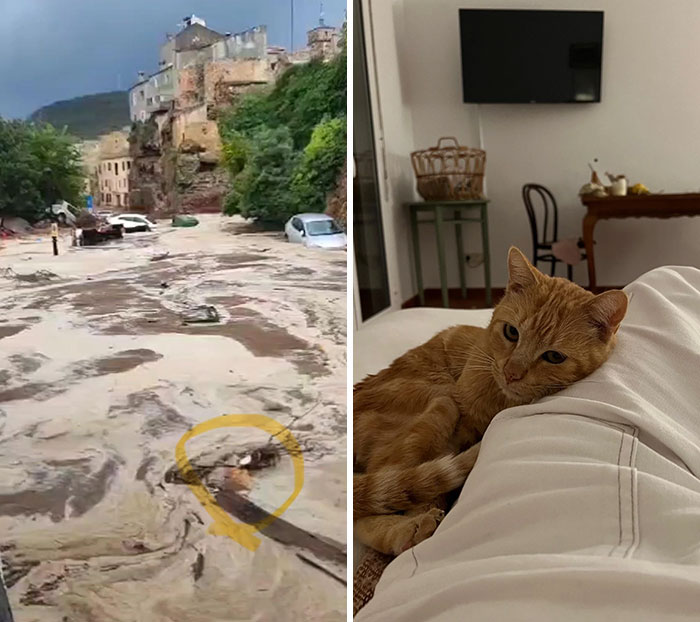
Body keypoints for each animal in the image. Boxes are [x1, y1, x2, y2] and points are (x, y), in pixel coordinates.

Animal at [356, 249, 628, 556]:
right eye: (511, 332)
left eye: (554, 357)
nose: (511, 373)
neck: (499, 401)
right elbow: (426, 490)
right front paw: (422, 514)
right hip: (442, 404)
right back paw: (408, 529)